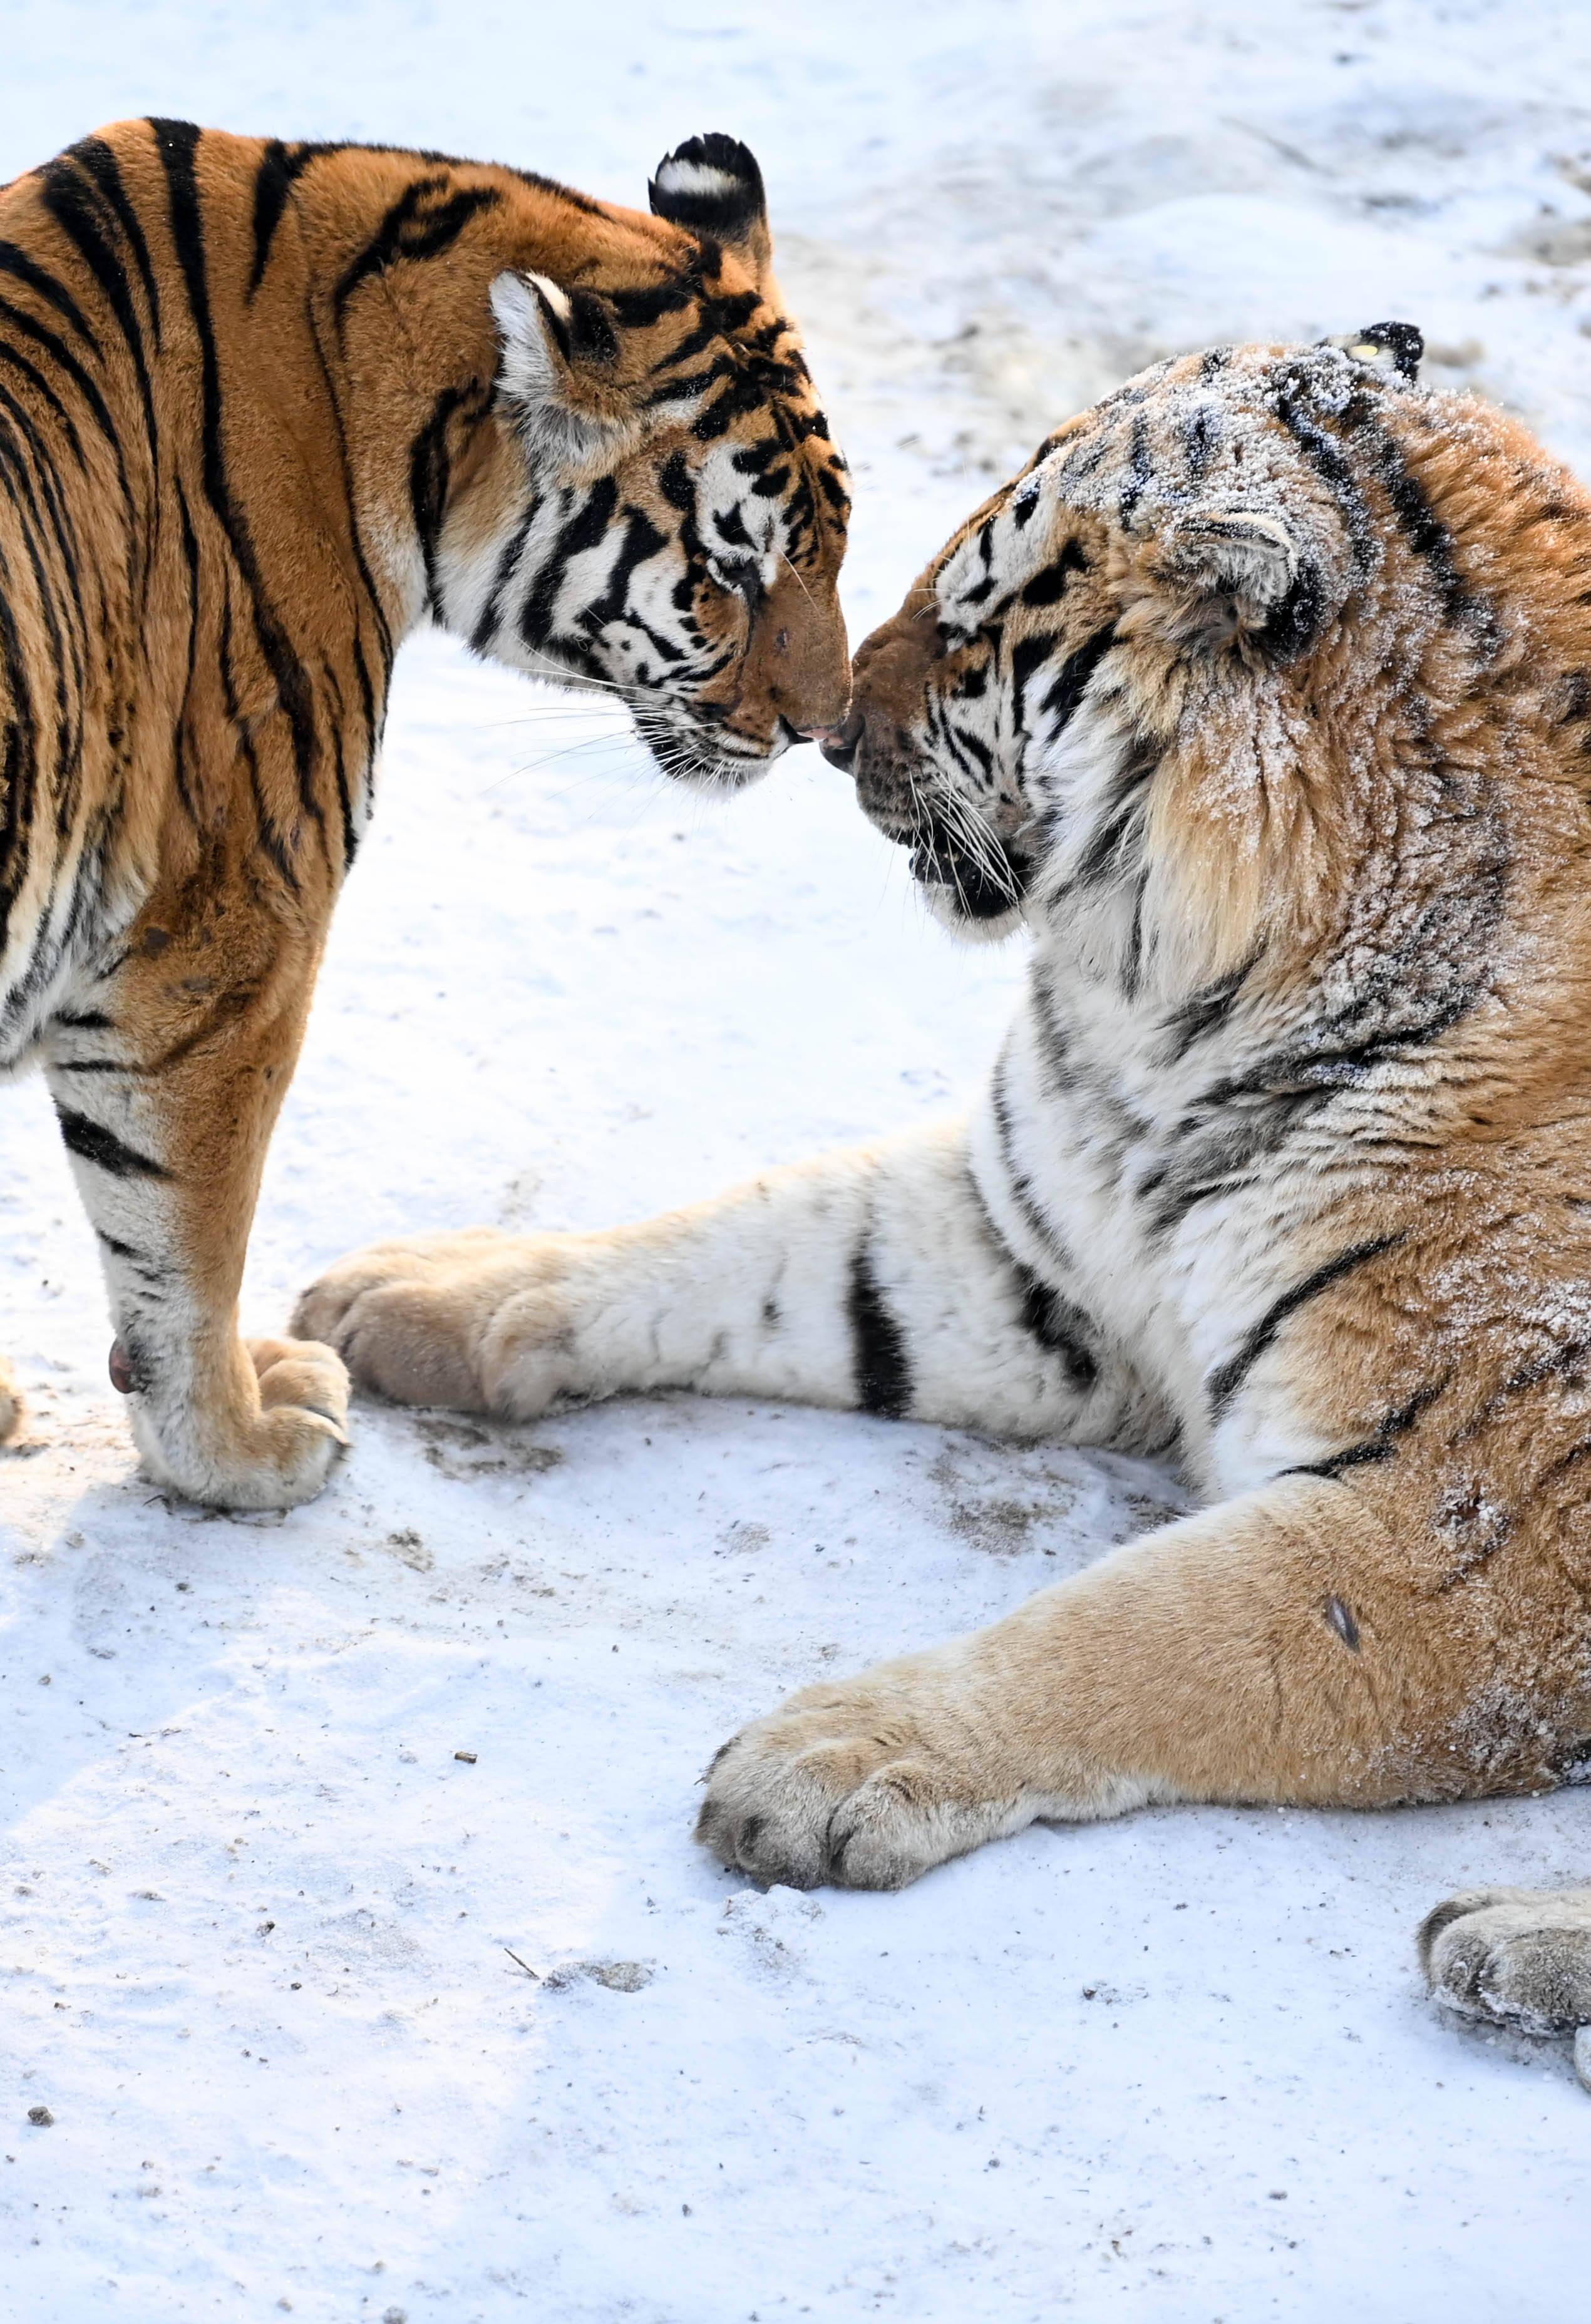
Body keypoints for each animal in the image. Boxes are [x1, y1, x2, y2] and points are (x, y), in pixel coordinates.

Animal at [0, 122, 850, 1506]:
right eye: (731, 570)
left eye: (829, 547)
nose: (824, 728)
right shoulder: (226, 937)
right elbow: (186, 1240)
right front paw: (238, 1447)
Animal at [302, 332, 1588, 2054]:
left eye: (978, 631)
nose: (833, 731)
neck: (1177, 1017)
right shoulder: (1032, 1247)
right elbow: (745, 1242)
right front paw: (414, 1290)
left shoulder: (1471, 1532)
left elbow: (1137, 1630)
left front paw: (828, 1759)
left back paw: (1504, 1939)